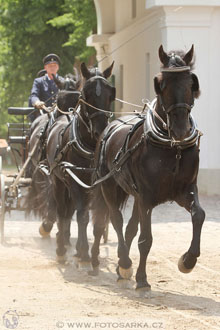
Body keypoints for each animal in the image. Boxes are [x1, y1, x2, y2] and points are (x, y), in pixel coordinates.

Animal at [35, 61, 115, 266]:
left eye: (111, 92)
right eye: (85, 94)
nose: (100, 130)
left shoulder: (98, 186)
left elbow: (96, 219)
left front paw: (87, 253)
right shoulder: (74, 181)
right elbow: (82, 216)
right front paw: (84, 253)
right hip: (59, 181)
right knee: (63, 211)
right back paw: (61, 248)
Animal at [90, 44, 205, 294]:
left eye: (191, 82)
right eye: (161, 82)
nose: (181, 129)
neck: (173, 147)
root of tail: (111, 126)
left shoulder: (183, 190)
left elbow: (198, 215)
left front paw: (188, 261)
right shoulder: (147, 197)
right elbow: (146, 239)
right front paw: (142, 279)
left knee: (128, 228)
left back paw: (120, 267)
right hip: (109, 186)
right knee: (113, 220)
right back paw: (122, 263)